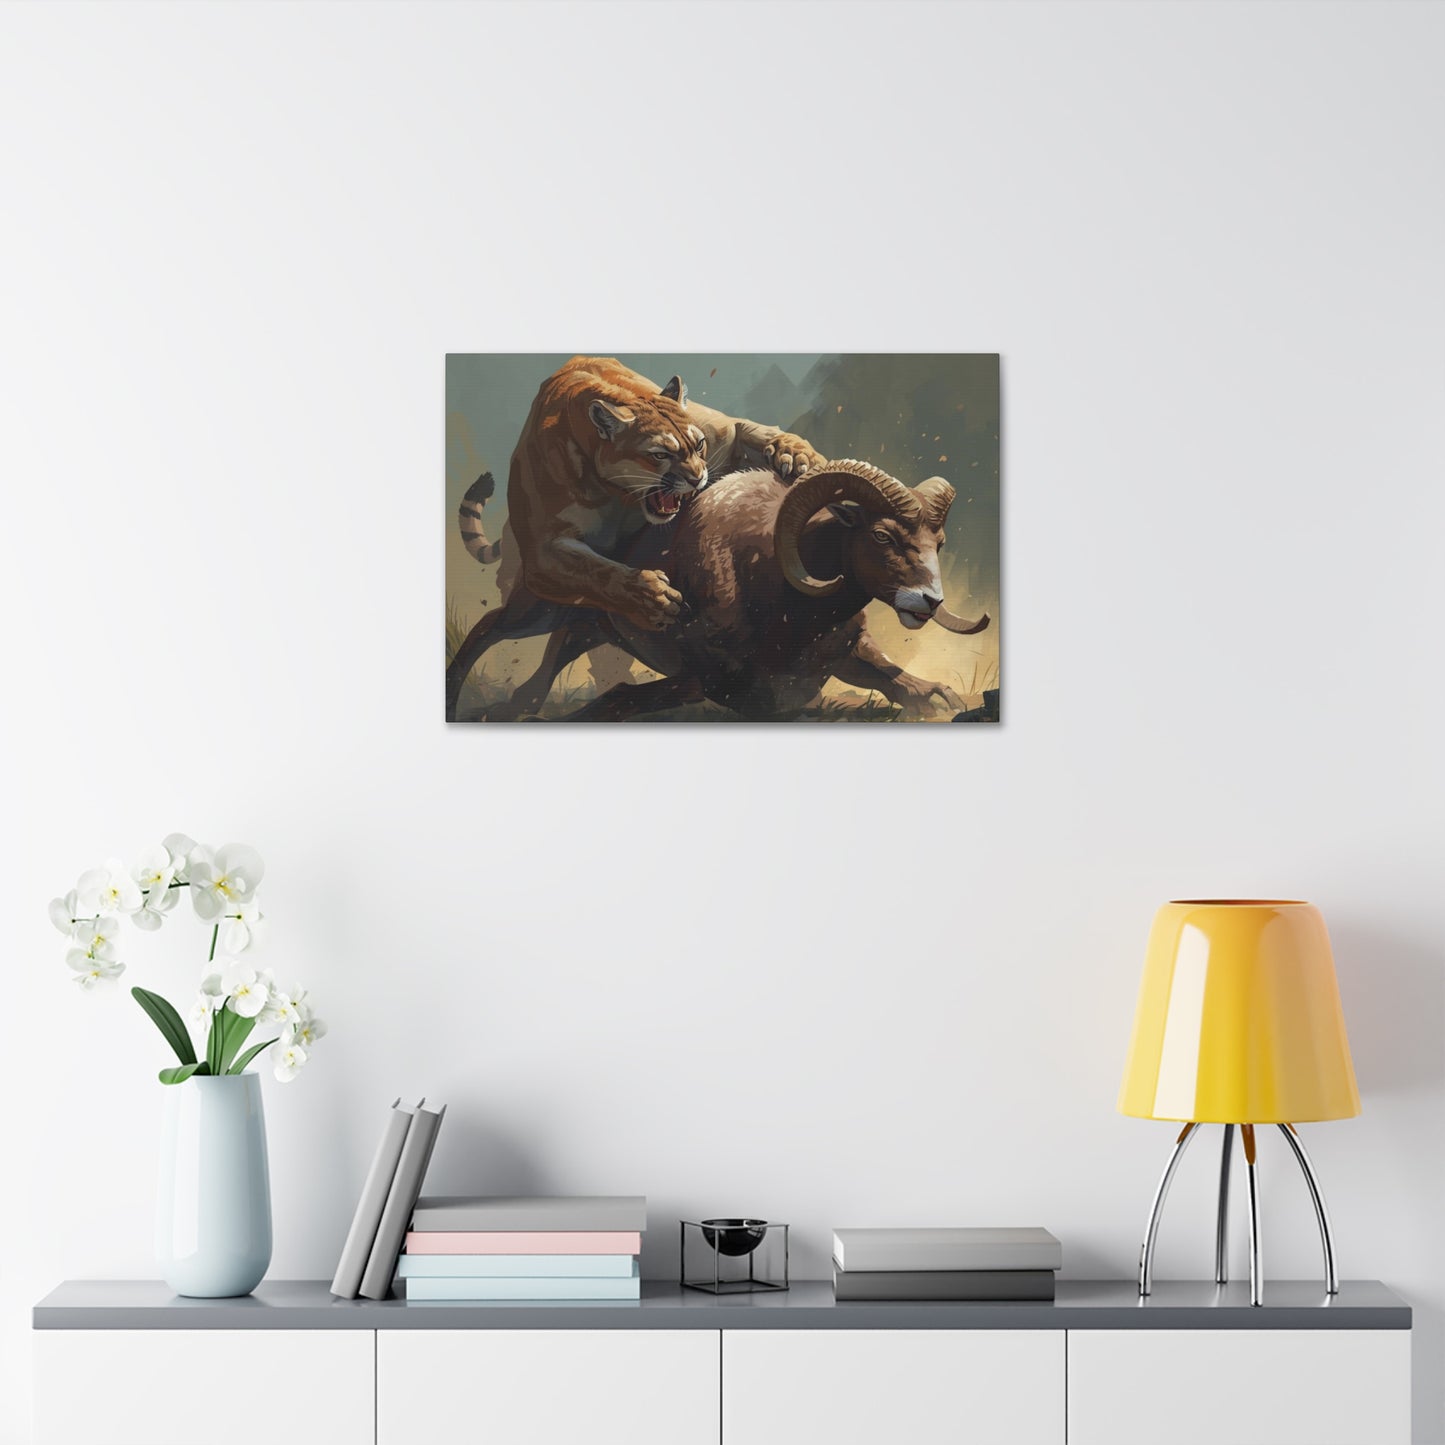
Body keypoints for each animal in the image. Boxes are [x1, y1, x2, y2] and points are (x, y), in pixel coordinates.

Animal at [446, 356, 824, 720]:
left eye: (698, 445)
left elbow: (753, 430)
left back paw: (521, 703)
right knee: (490, 625)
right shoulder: (543, 553)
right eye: (660, 454)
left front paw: (795, 454)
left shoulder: (725, 437)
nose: (698, 478)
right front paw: (652, 597)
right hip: (538, 607)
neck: (618, 492)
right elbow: (598, 571)